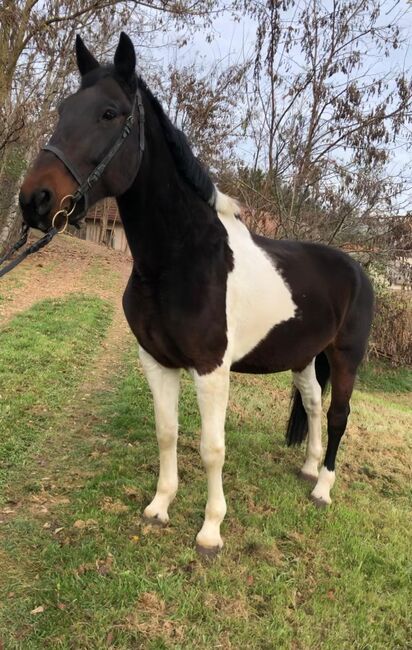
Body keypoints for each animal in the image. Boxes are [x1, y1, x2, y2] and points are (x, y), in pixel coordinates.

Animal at [18, 33, 374, 556]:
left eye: (109, 113)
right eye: (64, 109)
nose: (35, 199)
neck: (179, 261)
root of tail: (356, 269)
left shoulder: (211, 370)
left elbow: (212, 448)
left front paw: (211, 529)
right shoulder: (156, 361)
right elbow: (167, 433)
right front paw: (159, 507)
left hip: (346, 356)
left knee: (338, 415)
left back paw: (323, 488)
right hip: (306, 356)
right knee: (311, 402)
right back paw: (309, 468)